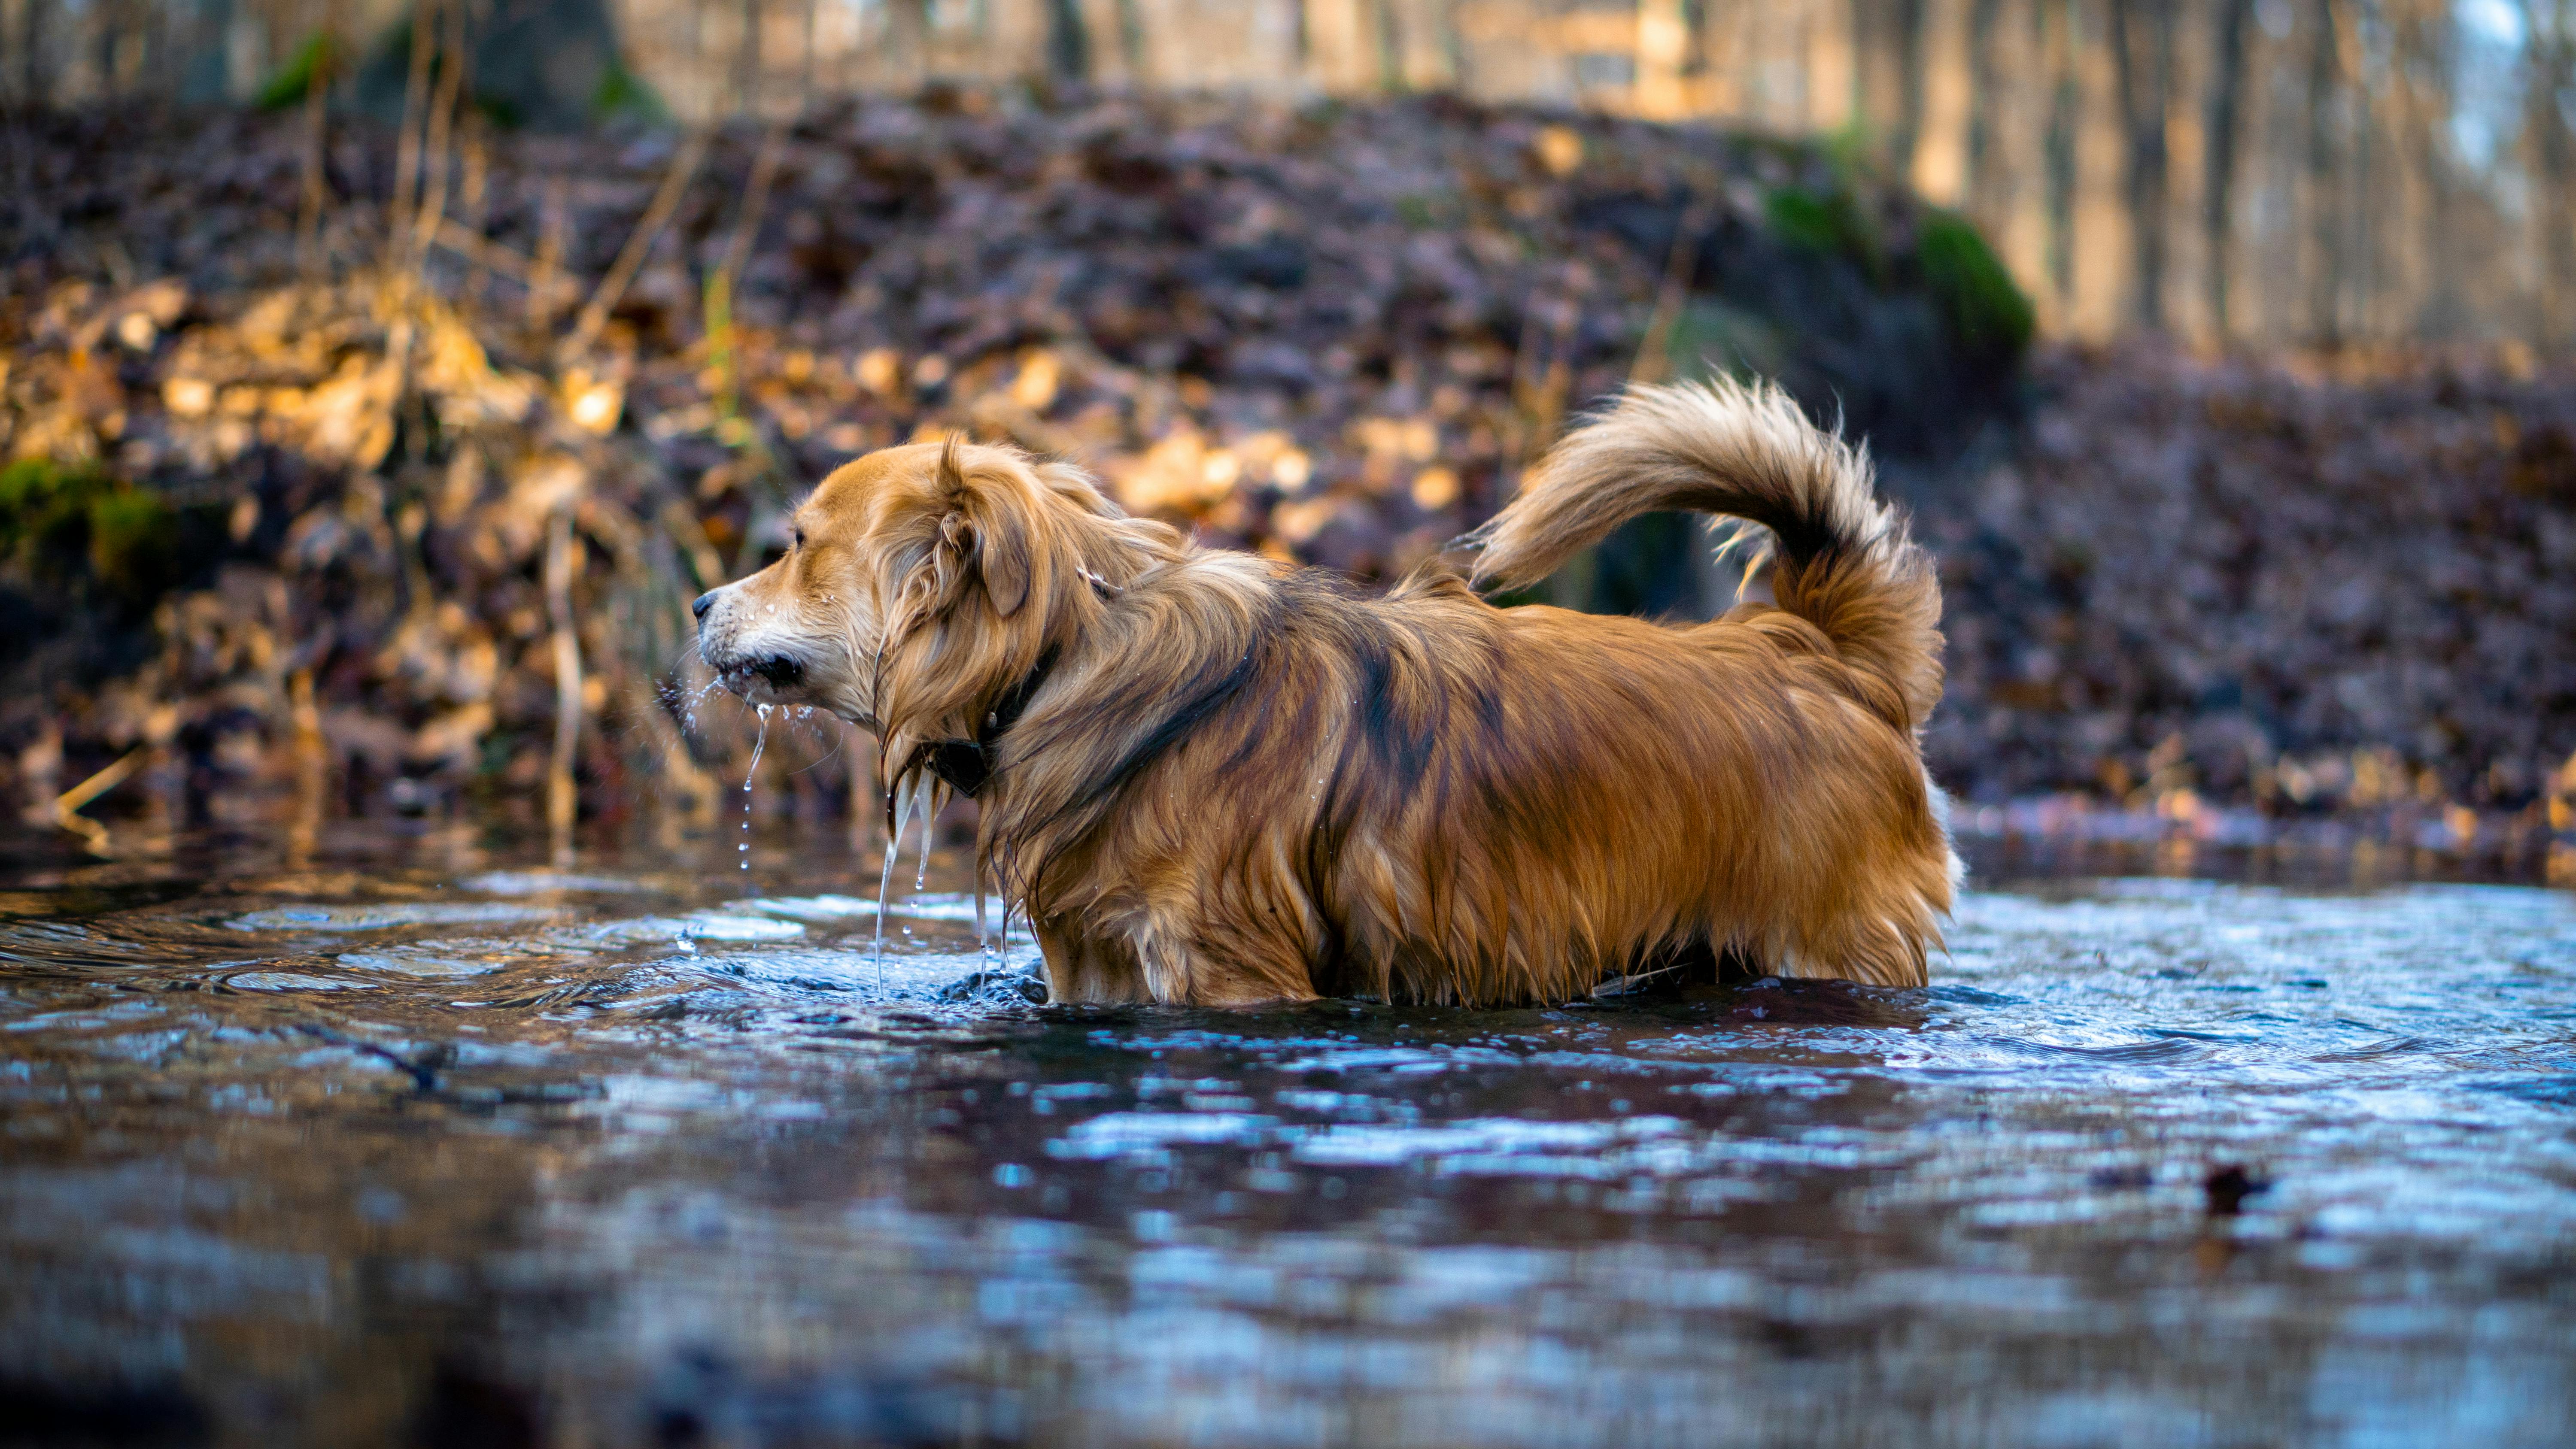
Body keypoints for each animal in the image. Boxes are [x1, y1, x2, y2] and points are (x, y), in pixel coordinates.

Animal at [696, 381, 1958, 1003]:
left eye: (797, 545)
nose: (701, 602)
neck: (1073, 657)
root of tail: (1819, 644)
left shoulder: (1228, 970)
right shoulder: (1098, 961)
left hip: (1824, 946)